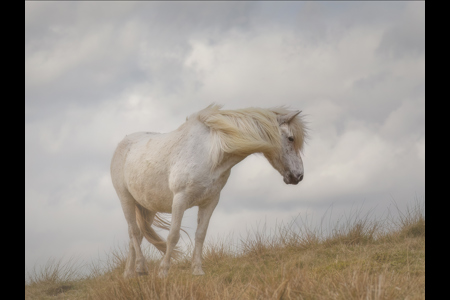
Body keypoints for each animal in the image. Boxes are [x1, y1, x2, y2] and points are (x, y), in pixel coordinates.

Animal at [110, 104, 306, 278]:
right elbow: (173, 236)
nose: (299, 176)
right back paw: (141, 268)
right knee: (134, 232)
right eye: (290, 138)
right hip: (126, 199)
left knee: (137, 235)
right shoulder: (180, 199)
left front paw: (197, 271)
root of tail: (123, 144)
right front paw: (163, 272)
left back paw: (130, 273)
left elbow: (200, 235)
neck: (212, 152)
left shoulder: (210, 202)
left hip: (147, 207)